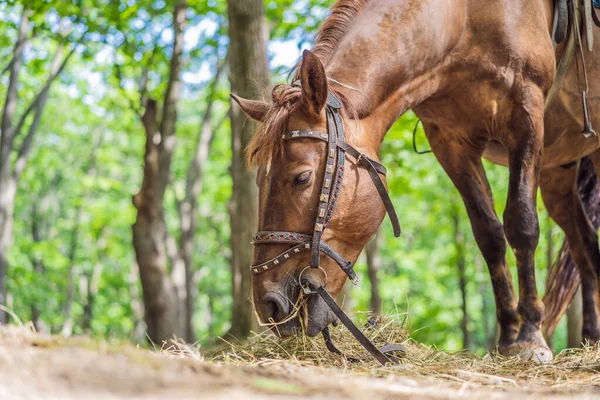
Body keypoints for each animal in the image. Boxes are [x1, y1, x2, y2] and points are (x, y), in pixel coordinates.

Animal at [232, 0, 600, 362]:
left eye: (302, 177)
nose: (268, 303)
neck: (463, 20)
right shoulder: (451, 142)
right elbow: (490, 235)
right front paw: (509, 336)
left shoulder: (526, 113)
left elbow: (522, 225)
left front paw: (529, 337)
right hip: (557, 172)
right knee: (584, 243)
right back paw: (592, 336)